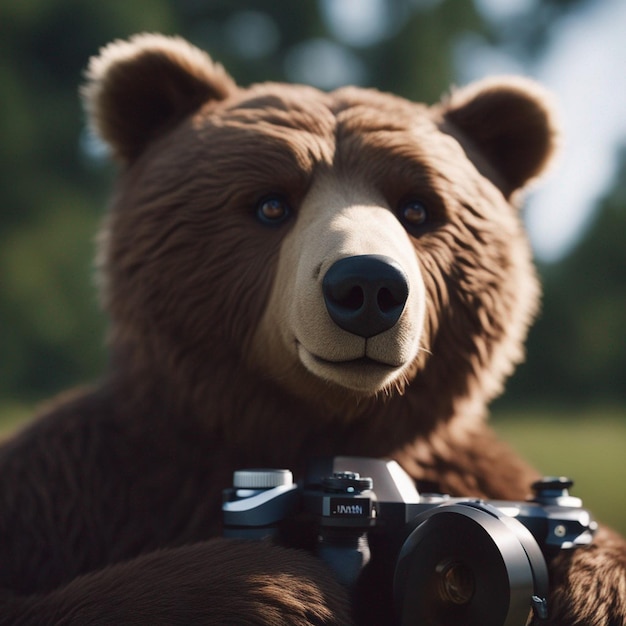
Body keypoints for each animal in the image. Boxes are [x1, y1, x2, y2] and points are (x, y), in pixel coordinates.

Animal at [1, 34, 624, 624]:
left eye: (417, 209)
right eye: (271, 204)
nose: (368, 286)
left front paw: (588, 586)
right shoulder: (85, 484)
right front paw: (281, 589)